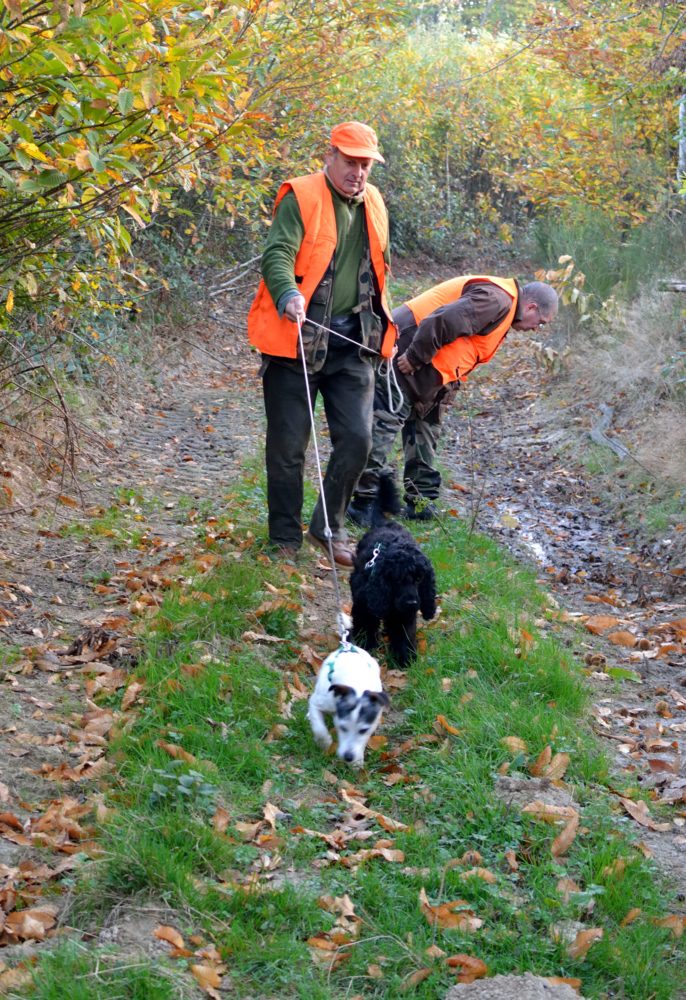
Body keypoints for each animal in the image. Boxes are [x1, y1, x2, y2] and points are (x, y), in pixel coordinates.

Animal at [352, 474, 438, 668]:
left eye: (419, 579)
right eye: (396, 579)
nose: (412, 603)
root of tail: (385, 522)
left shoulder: (404, 615)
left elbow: (404, 635)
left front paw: (405, 659)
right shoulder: (365, 606)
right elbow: (365, 627)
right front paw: (364, 648)